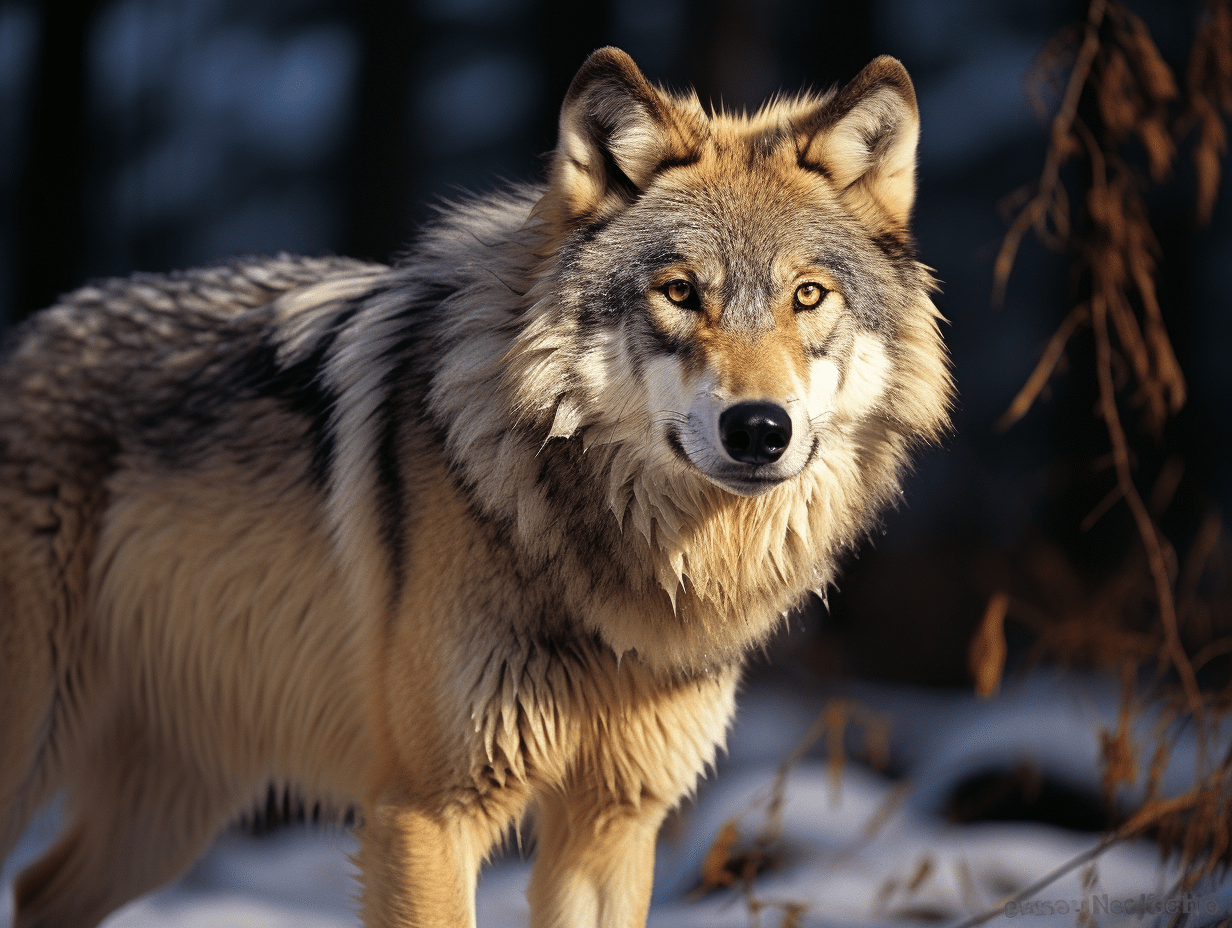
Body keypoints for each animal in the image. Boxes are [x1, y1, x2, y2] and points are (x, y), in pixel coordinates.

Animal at [0, 47, 950, 927]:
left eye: (808, 296)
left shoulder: (614, 820)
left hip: (176, 806)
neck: (617, 568)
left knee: (40, 891)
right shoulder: (429, 812)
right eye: (680, 292)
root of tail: (28, 334)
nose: (758, 429)